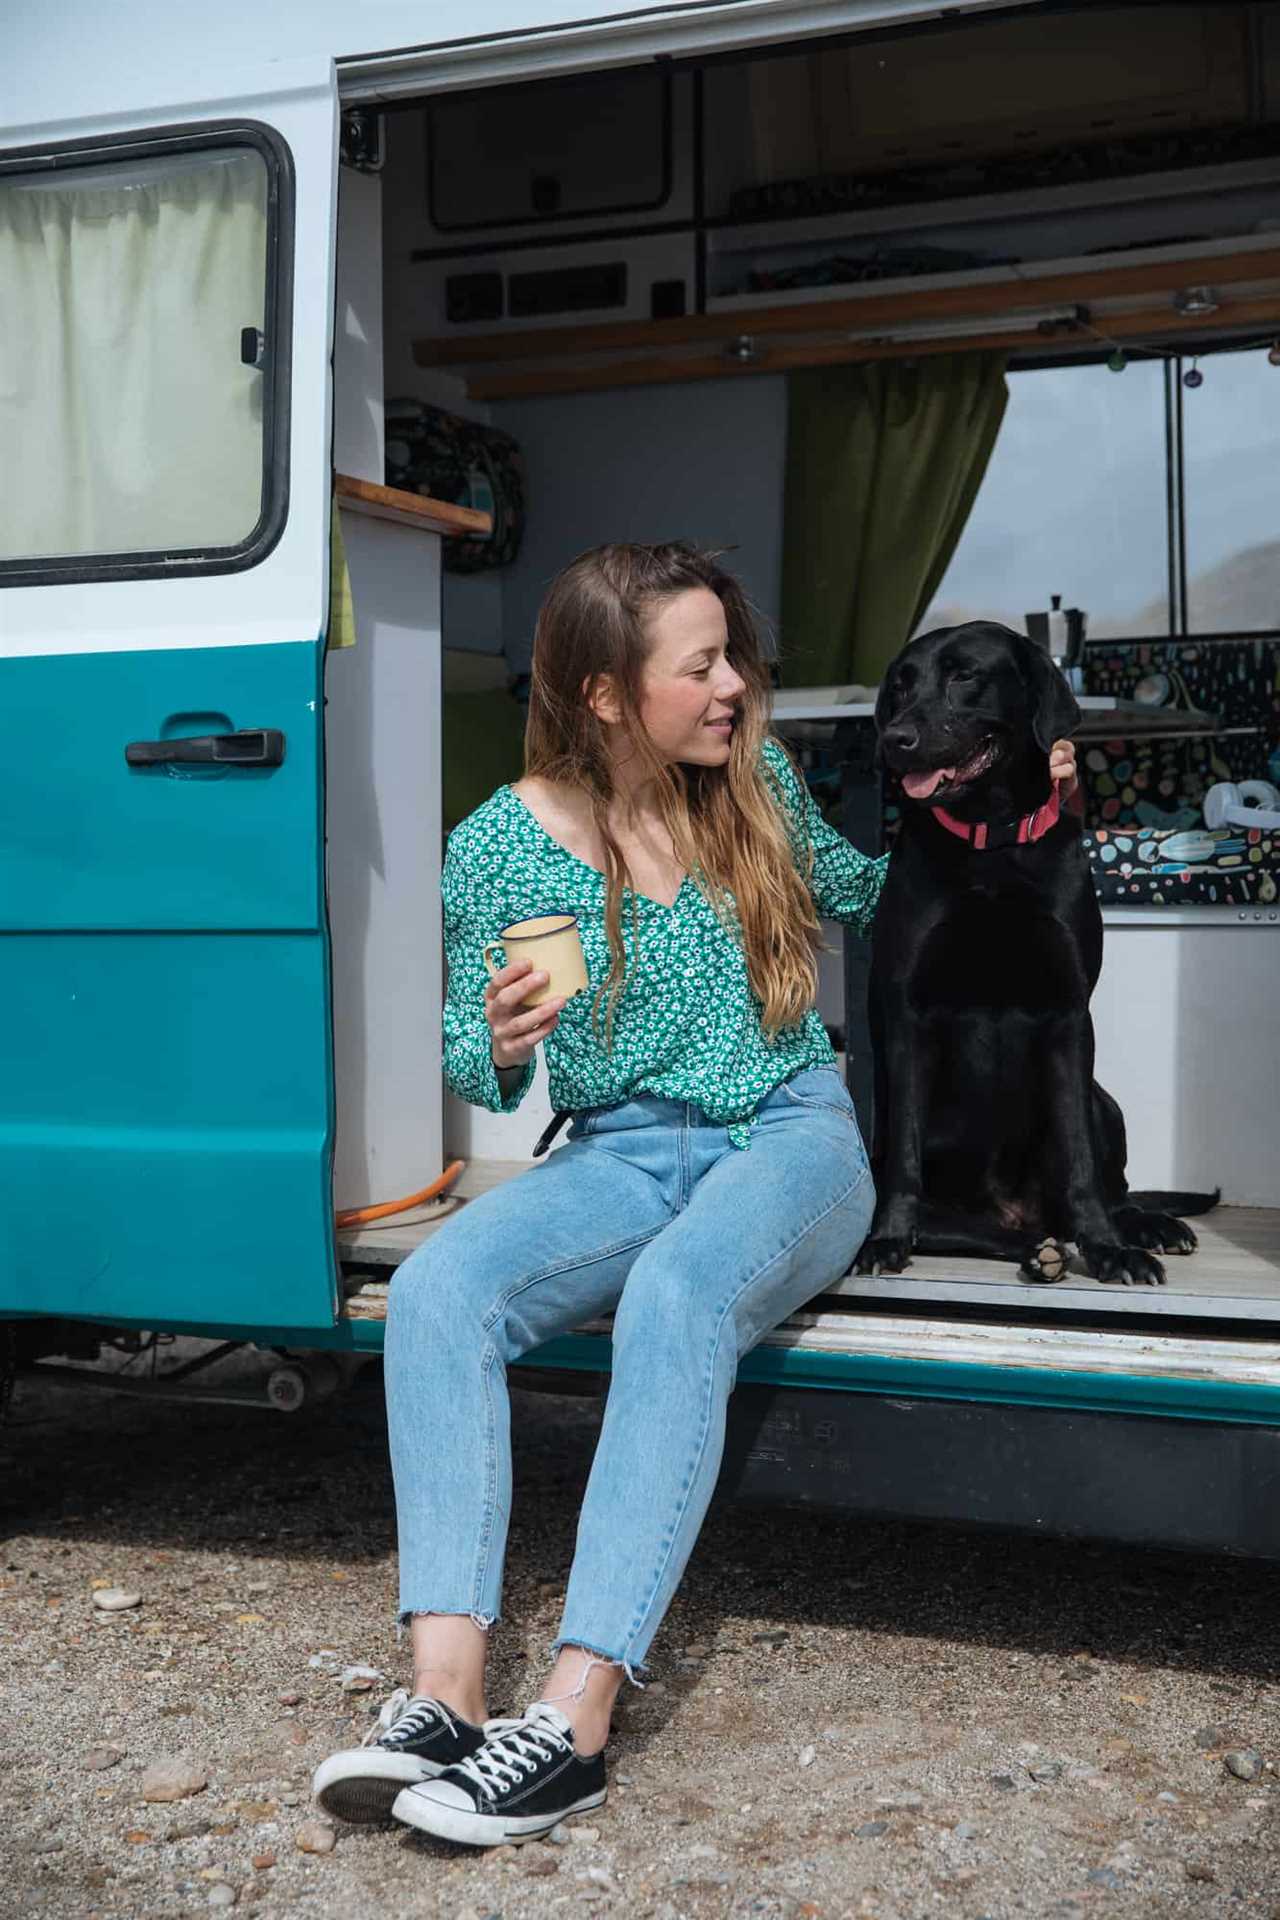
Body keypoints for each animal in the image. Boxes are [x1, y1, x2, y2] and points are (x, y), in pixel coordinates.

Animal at [855, 622, 1220, 1282]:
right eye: (899, 686)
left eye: (964, 675)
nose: (895, 741)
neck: (993, 844)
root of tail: (1018, 1210)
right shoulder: (907, 1017)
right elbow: (904, 1163)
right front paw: (887, 1238)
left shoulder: (1069, 1015)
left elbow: (1079, 1161)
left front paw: (1107, 1249)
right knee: (965, 1224)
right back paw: (1036, 1248)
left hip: (1105, 1101)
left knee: (1111, 1187)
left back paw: (1140, 1226)